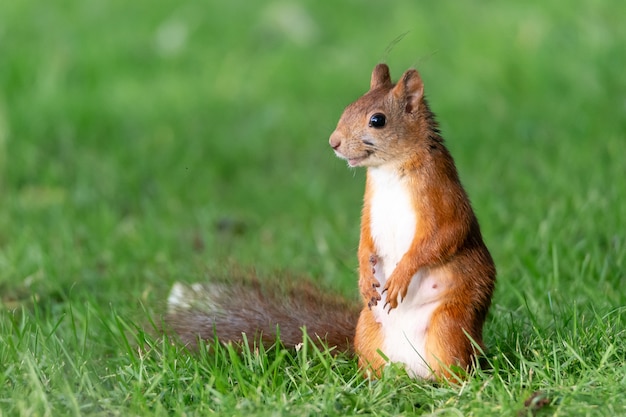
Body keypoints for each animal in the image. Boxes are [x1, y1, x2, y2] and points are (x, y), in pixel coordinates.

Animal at [165, 63, 492, 378]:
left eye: (378, 120)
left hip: (449, 329)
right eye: (348, 107)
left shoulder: (442, 195)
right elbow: (364, 240)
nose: (334, 142)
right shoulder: (369, 206)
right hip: (367, 329)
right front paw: (364, 278)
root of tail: (415, 372)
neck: (389, 169)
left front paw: (401, 275)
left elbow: (445, 235)